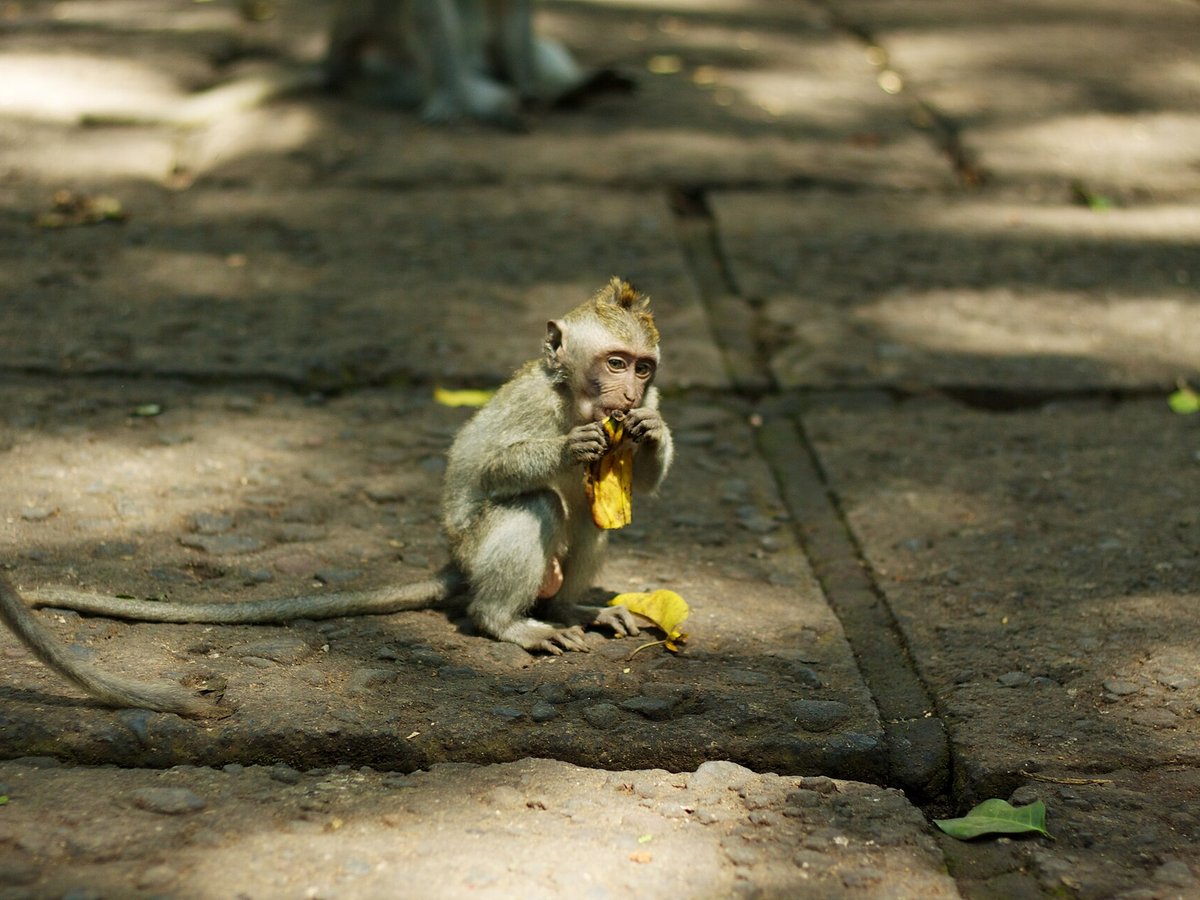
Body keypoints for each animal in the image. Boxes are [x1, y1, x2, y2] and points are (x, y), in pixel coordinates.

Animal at [1, 278, 672, 716]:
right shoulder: (535, 402)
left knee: (594, 517)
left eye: (643, 369)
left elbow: (636, 482)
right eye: (614, 362)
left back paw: (571, 609)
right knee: (540, 506)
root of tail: (455, 566)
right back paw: (507, 622)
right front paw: (568, 448)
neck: (578, 402)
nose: (628, 397)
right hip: (476, 549)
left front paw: (653, 436)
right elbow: (482, 464)